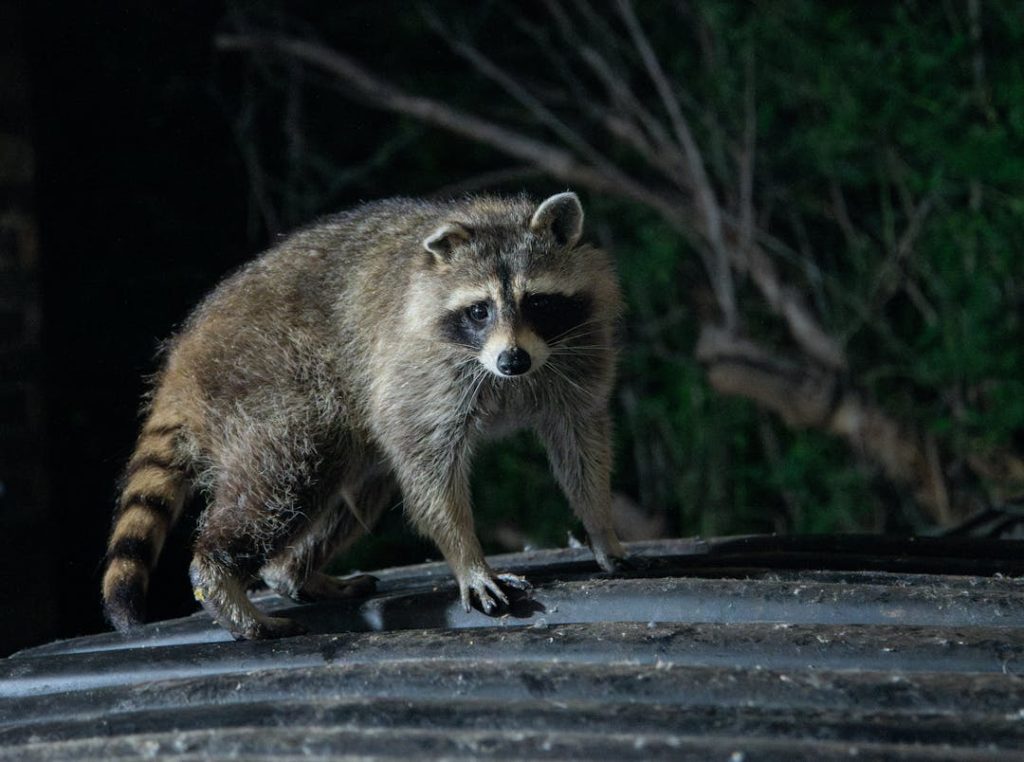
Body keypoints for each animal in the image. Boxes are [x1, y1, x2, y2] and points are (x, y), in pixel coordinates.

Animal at [101, 191, 627, 640]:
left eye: (536, 301)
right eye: (479, 311)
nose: (512, 360)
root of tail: (181, 360)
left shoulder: (578, 351)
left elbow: (580, 443)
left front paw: (601, 527)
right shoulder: (419, 366)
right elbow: (428, 466)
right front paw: (467, 557)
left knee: (355, 483)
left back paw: (293, 572)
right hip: (267, 381)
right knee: (287, 476)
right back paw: (220, 579)